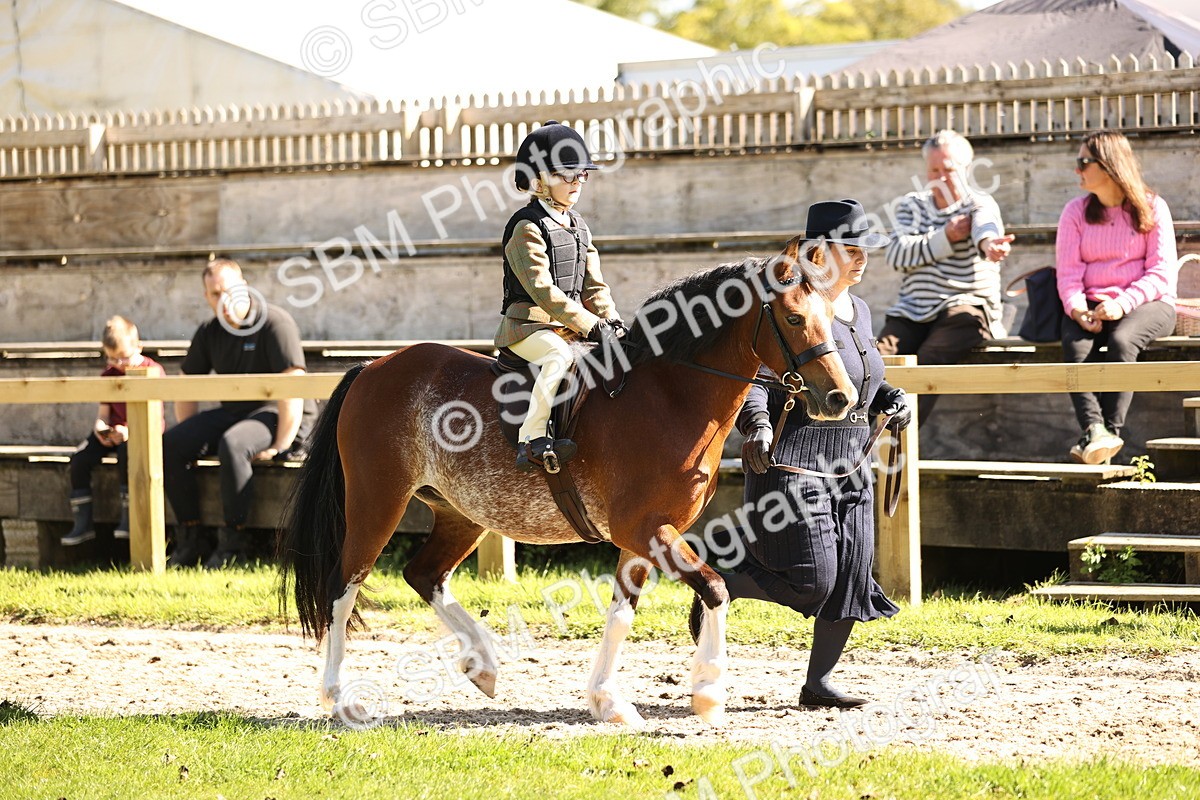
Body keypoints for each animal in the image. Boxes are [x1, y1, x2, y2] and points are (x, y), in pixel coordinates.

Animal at [278, 238, 857, 728]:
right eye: (794, 317)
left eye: (832, 316)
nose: (841, 399)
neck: (670, 393)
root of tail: (373, 367)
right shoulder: (643, 528)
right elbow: (715, 588)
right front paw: (709, 692)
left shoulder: (642, 537)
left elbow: (622, 613)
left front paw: (608, 702)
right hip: (378, 502)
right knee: (344, 586)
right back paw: (342, 699)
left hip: (460, 513)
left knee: (424, 575)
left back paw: (482, 665)